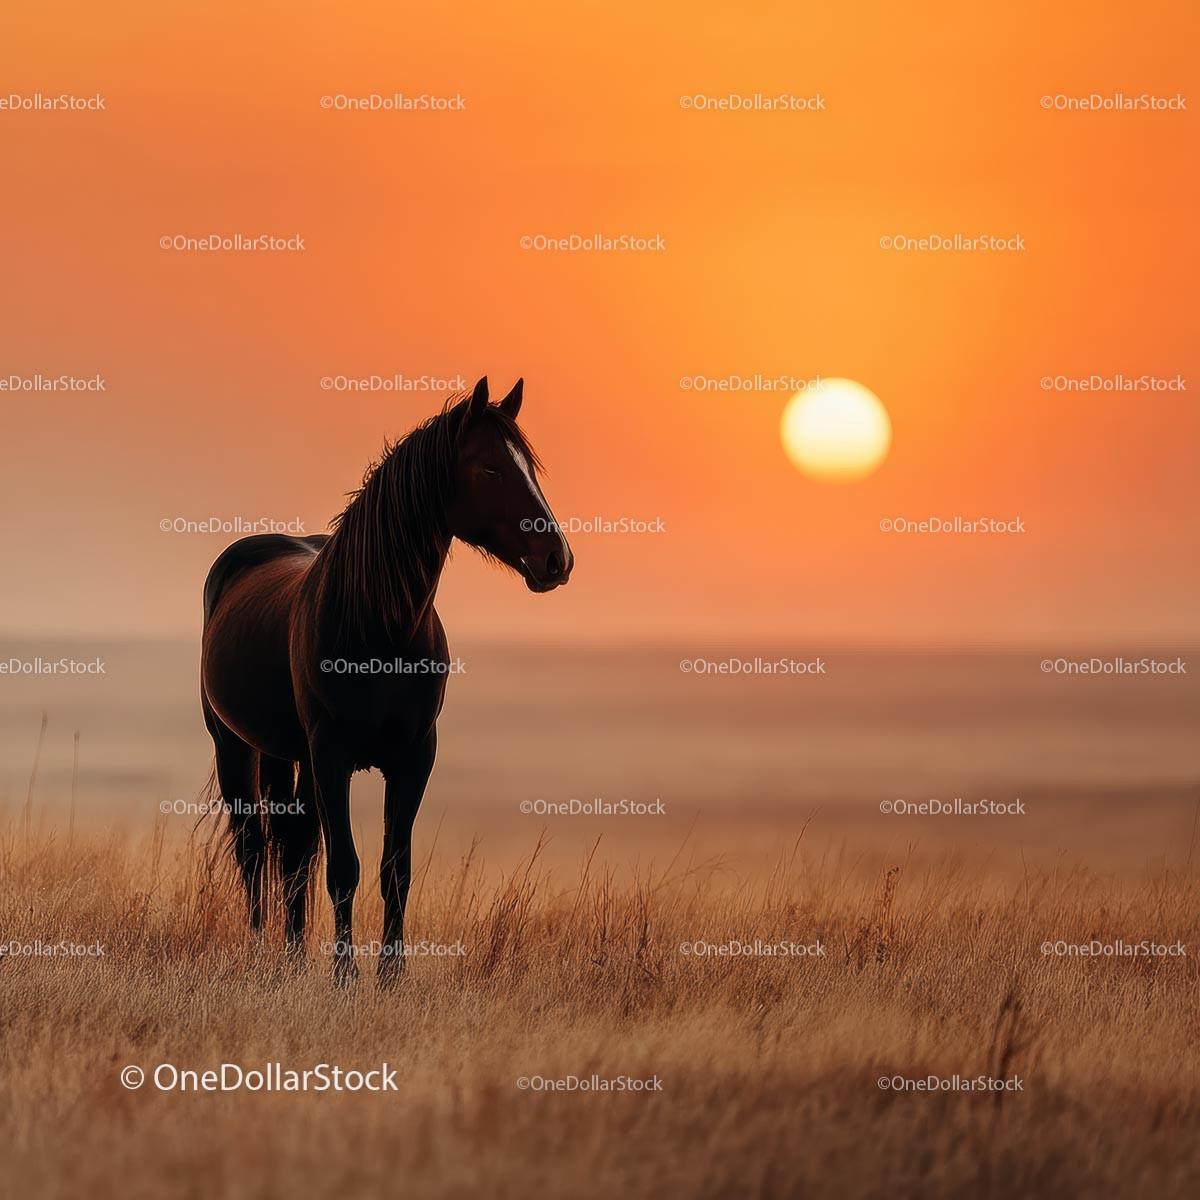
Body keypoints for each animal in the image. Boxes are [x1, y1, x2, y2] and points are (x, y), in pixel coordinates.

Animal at [199, 376, 573, 985]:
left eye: (531, 469)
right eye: (491, 469)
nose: (557, 559)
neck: (379, 629)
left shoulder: (414, 756)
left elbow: (395, 867)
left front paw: (391, 975)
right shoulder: (331, 755)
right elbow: (344, 867)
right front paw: (345, 976)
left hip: (287, 754)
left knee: (292, 845)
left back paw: (292, 957)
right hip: (235, 744)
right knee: (253, 848)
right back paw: (261, 954)